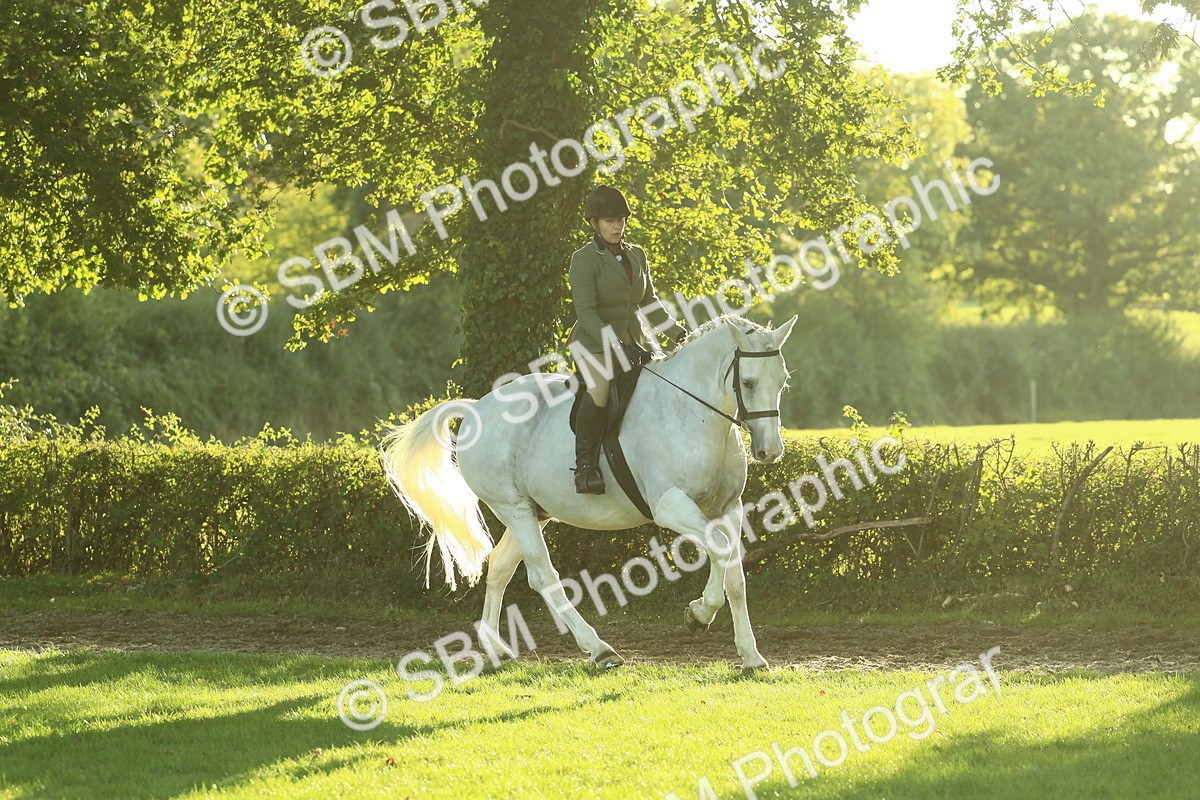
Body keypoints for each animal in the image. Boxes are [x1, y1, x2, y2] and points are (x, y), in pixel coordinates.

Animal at [380, 313, 797, 672]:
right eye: (748, 383)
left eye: (782, 382)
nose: (770, 451)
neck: (692, 413)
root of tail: (475, 411)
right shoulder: (671, 506)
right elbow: (721, 551)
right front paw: (698, 614)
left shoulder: (727, 507)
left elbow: (734, 576)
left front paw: (751, 656)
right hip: (512, 508)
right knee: (542, 576)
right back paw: (599, 649)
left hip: (532, 511)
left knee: (499, 567)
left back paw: (496, 649)